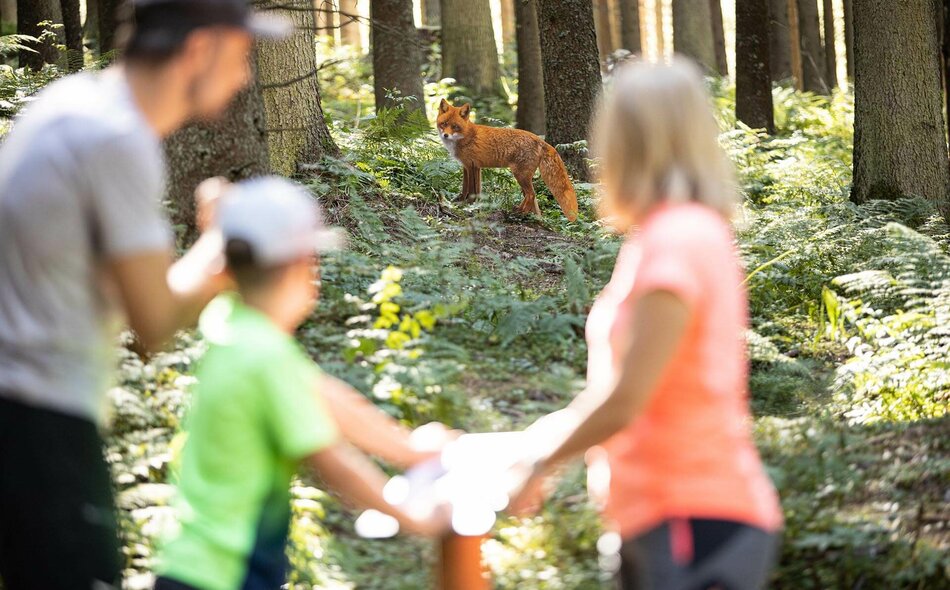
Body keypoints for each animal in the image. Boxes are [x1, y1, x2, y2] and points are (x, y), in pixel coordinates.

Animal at [436, 99, 578, 222]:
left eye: (455, 126)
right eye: (444, 124)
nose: (445, 135)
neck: (465, 136)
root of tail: (539, 139)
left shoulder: (472, 166)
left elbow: (471, 190)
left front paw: (469, 204)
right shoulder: (468, 166)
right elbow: (466, 188)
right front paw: (463, 202)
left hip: (520, 174)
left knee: (531, 194)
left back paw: (520, 213)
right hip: (522, 176)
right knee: (531, 196)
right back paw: (524, 212)